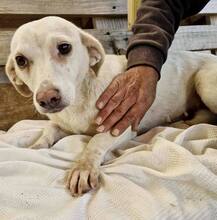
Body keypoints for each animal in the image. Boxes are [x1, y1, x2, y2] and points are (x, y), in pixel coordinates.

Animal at [5, 16, 217, 196]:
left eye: (64, 47)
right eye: (20, 60)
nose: (47, 99)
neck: (79, 100)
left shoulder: (121, 125)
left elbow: (95, 141)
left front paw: (83, 167)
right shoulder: (63, 125)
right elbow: (48, 130)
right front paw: (37, 145)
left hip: (204, 82)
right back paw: (181, 123)